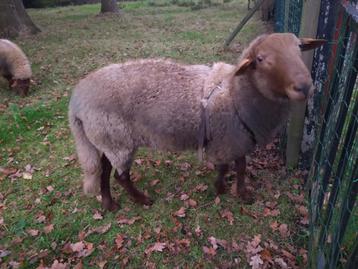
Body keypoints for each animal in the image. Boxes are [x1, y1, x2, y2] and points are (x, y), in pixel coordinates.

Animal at [68, 33, 326, 209]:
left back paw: (109, 204)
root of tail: (77, 99)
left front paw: (241, 193)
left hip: (108, 137)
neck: (235, 94)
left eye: (300, 48)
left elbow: (241, 165)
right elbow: (225, 166)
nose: (304, 87)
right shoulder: (226, 139)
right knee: (120, 176)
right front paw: (221, 188)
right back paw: (142, 199)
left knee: (103, 169)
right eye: (260, 59)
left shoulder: (238, 137)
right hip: (116, 138)